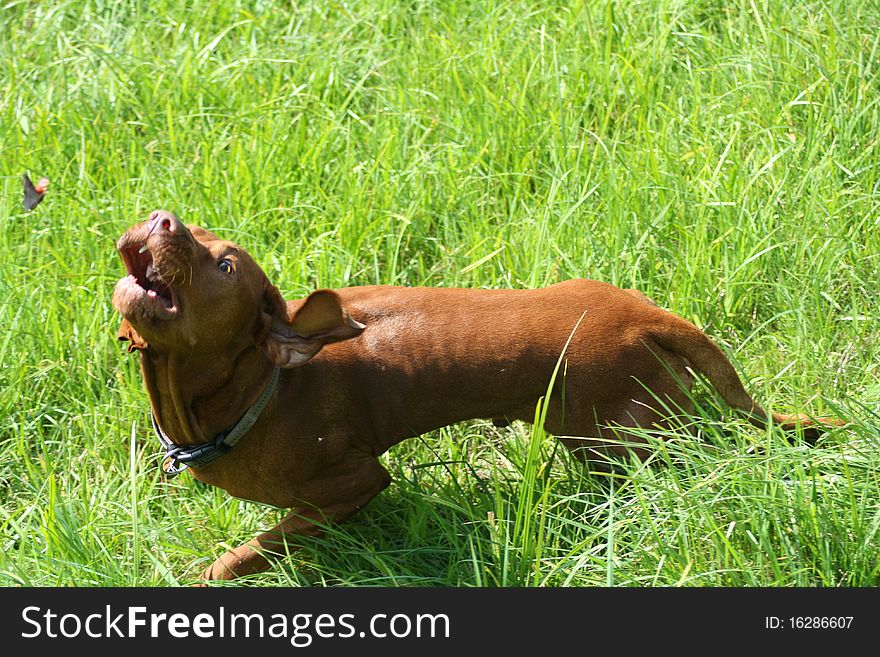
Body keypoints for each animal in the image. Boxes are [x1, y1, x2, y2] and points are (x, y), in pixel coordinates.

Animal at [113, 209, 844, 580]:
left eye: (225, 265)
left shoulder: (352, 485)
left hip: (627, 438)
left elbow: (249, 551)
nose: (161, 218)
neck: (255, 393)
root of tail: (649, 316)